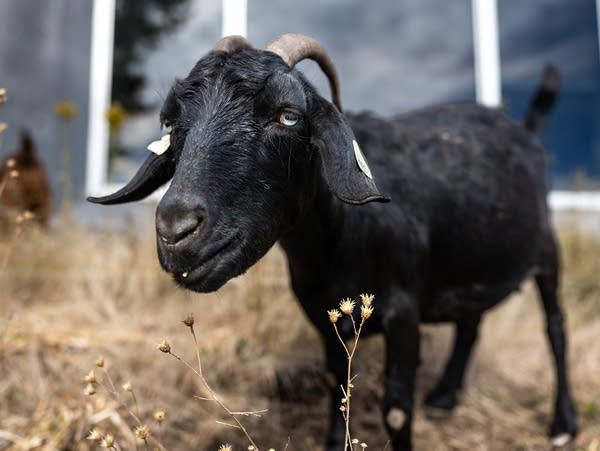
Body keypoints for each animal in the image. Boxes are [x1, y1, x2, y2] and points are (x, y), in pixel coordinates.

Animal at [89, 36, 576, 451]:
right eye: (170, 122)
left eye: (288, 115)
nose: (176, 230)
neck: (339, 241)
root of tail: (524, 129)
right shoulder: (324, 314)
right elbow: (336, 388)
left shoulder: (404, 309)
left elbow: (396, 411)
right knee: (471, 321)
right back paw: (445, 397)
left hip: (547, 249)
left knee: (555, 326)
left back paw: (563, 423)